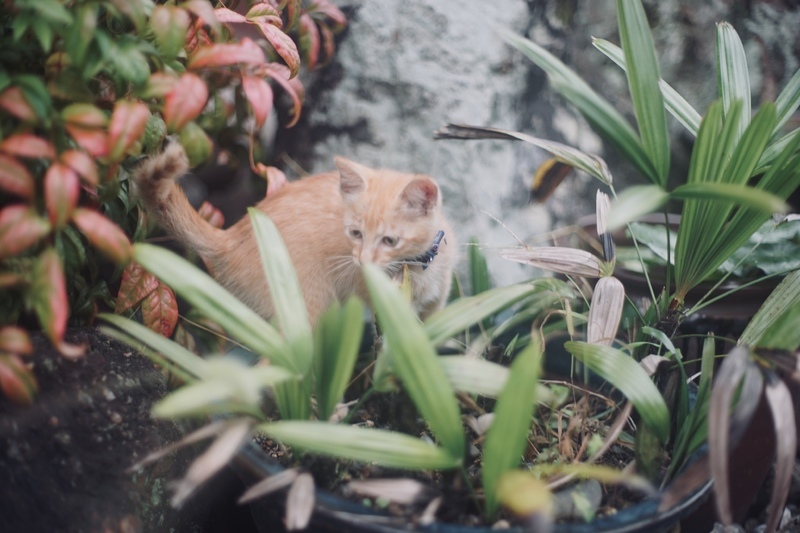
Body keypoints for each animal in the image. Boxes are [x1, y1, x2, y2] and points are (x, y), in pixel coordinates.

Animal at [132, 143, 456, 325]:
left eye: (390, 241)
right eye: (355, 233)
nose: (362, 262)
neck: (418, 267)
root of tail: (232, 235)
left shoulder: (437, 304)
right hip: (309, 309)